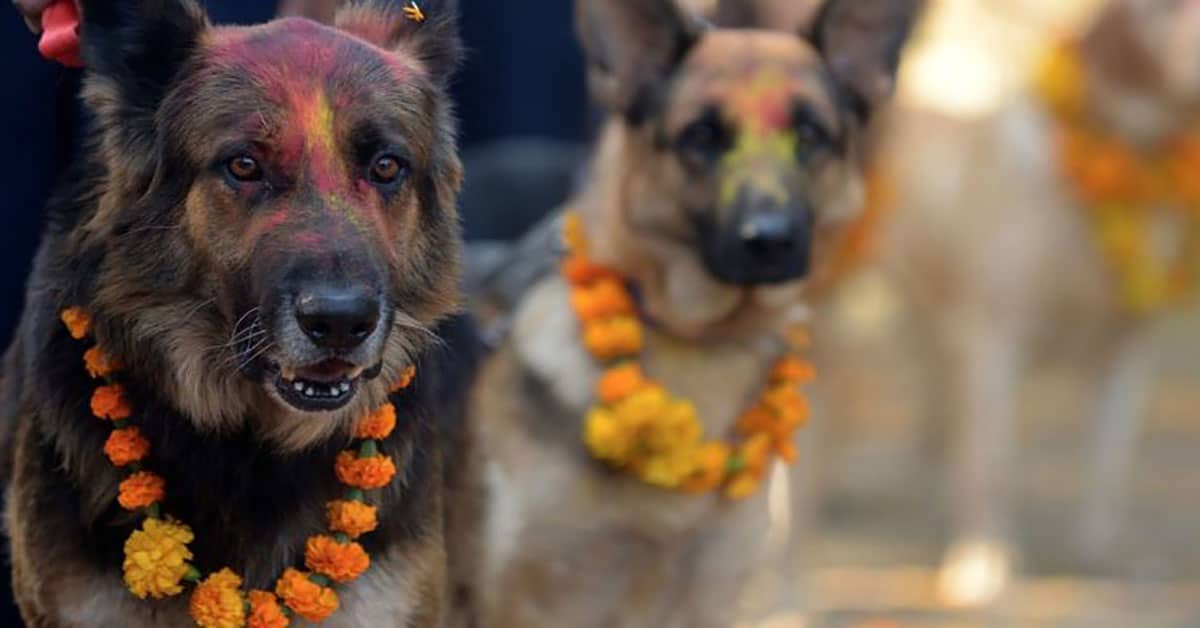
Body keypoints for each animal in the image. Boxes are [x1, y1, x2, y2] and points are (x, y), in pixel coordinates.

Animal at [468, 1, 916, 628]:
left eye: (809, 135)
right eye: (702, 136)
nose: (769, 241)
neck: (699, 342)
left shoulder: (706, 596)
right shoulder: (533, 601)